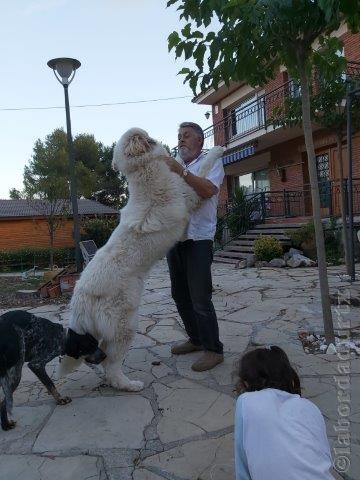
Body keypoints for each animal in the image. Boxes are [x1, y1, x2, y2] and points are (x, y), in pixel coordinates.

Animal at [58, 127, 224, 390]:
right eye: (145, 135)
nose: (176, 138)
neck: (143, 170)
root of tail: (81, 298)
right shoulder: (190, 194)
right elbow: (204, 170)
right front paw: (218, 149)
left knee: (103, 358)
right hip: (125, 325)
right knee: (111, 363)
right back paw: (130, 384)